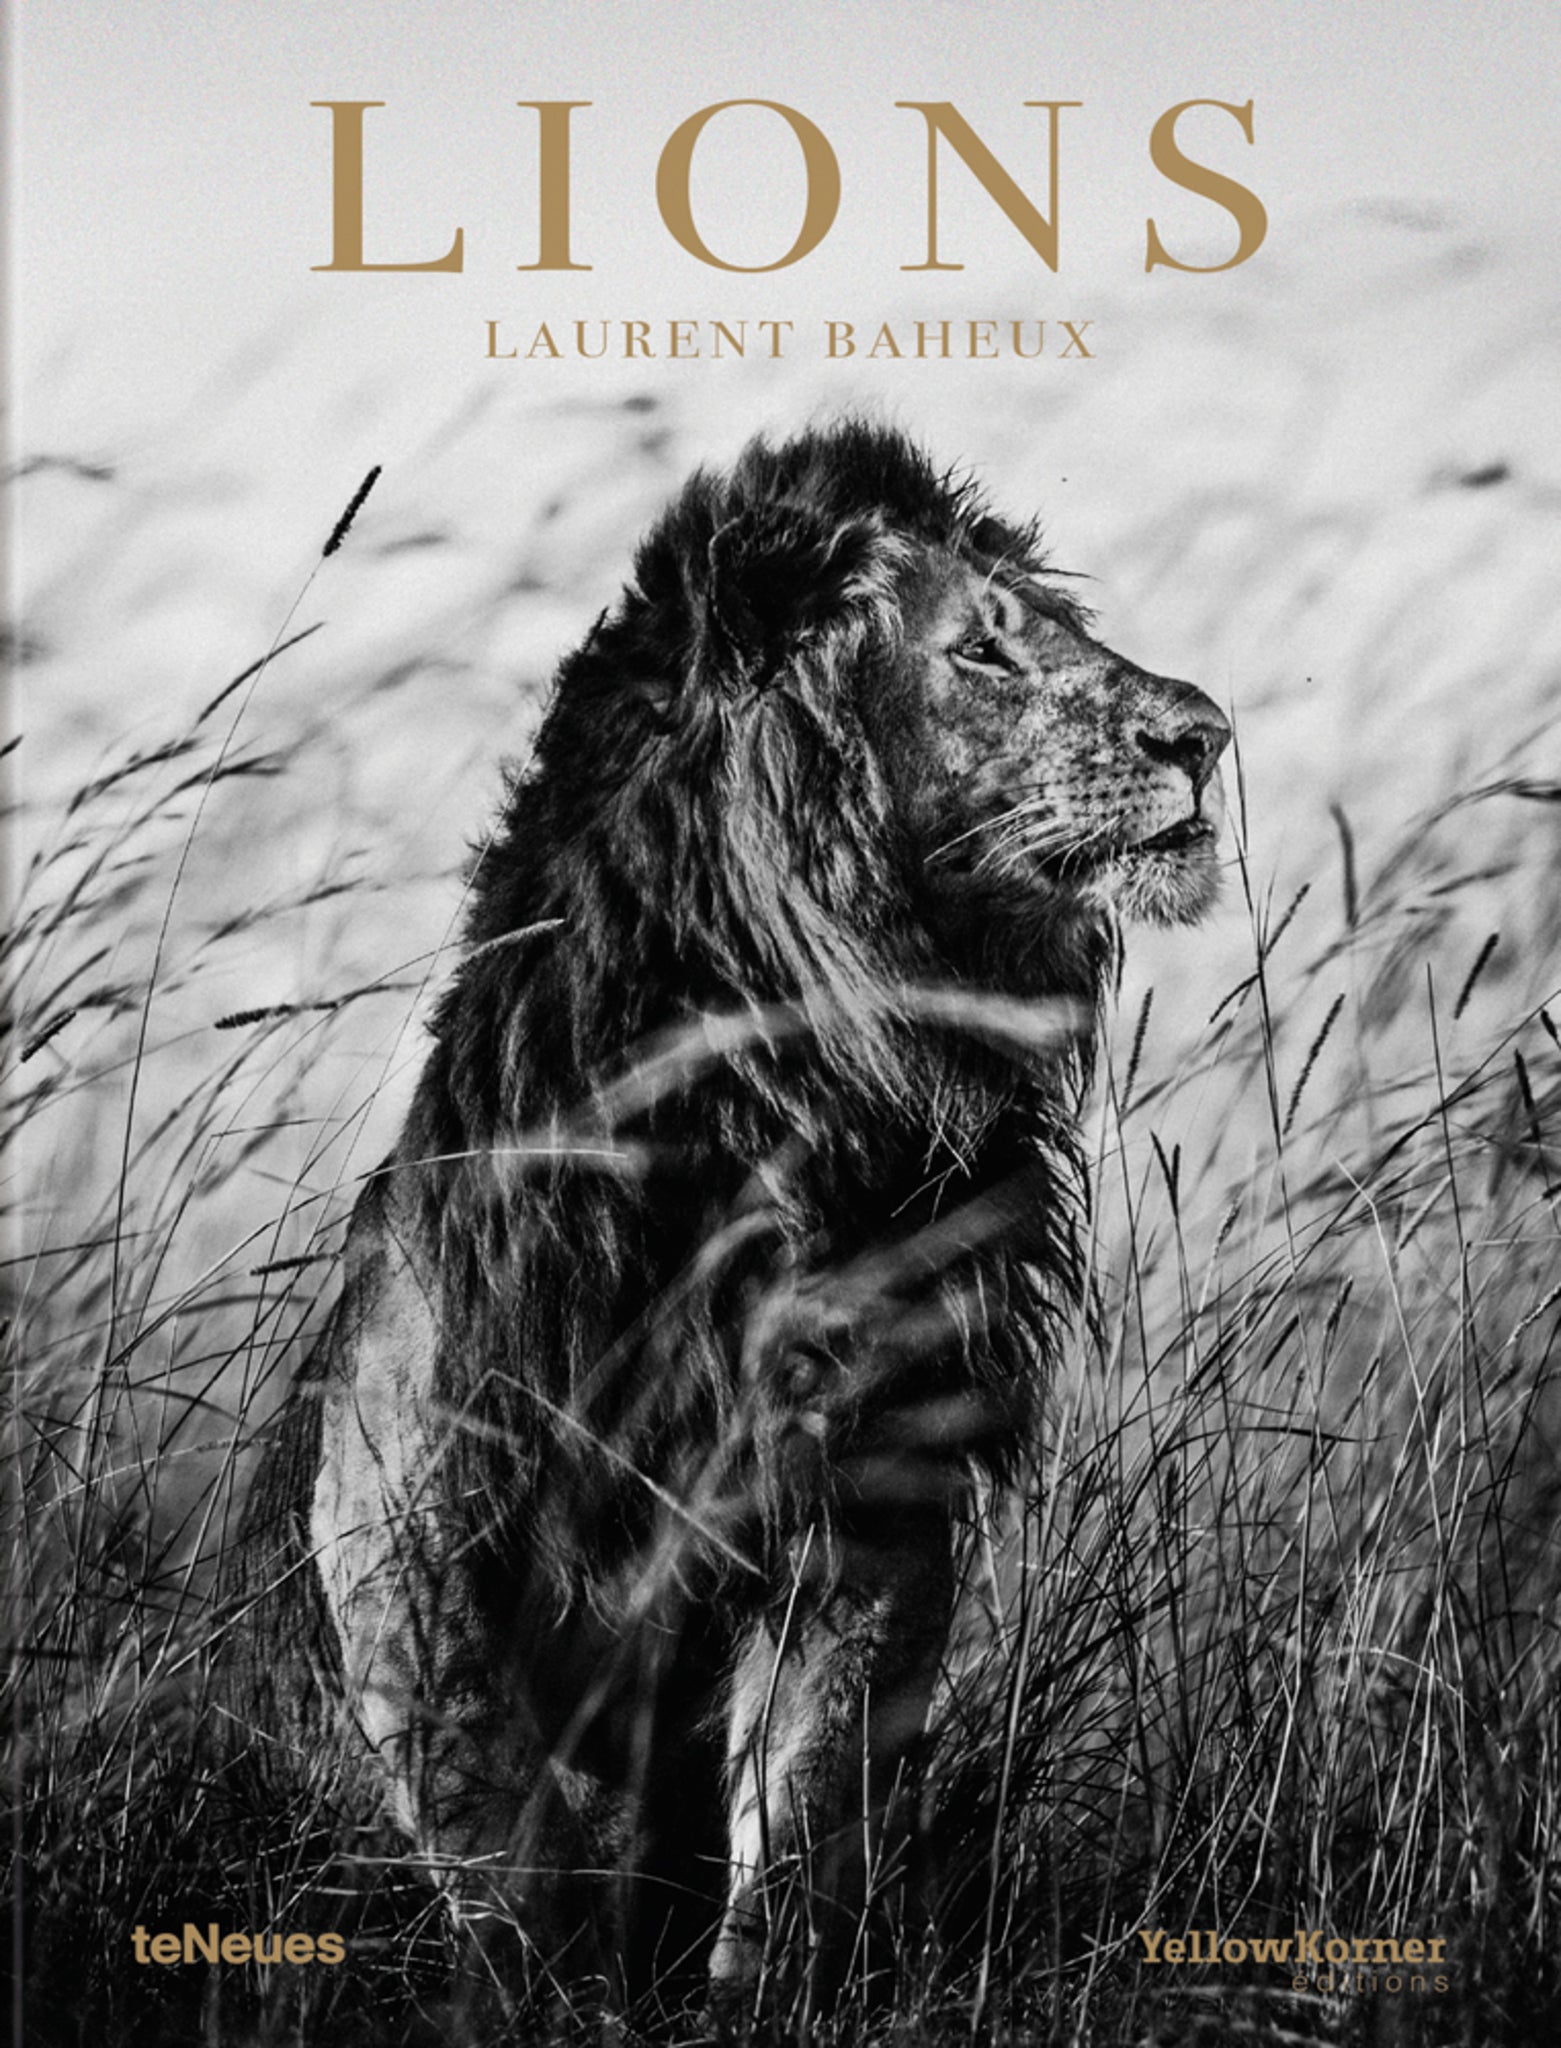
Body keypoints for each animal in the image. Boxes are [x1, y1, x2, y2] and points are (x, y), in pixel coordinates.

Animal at [226, 420, 1229, 2027]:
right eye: (983, 650)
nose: (1206, 735)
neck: (792, 1113)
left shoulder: (870, 1500)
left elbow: (807, 1803)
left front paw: (760, 1999)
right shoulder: (409, 1511)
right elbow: (506, 1824)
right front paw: (547, 2000)